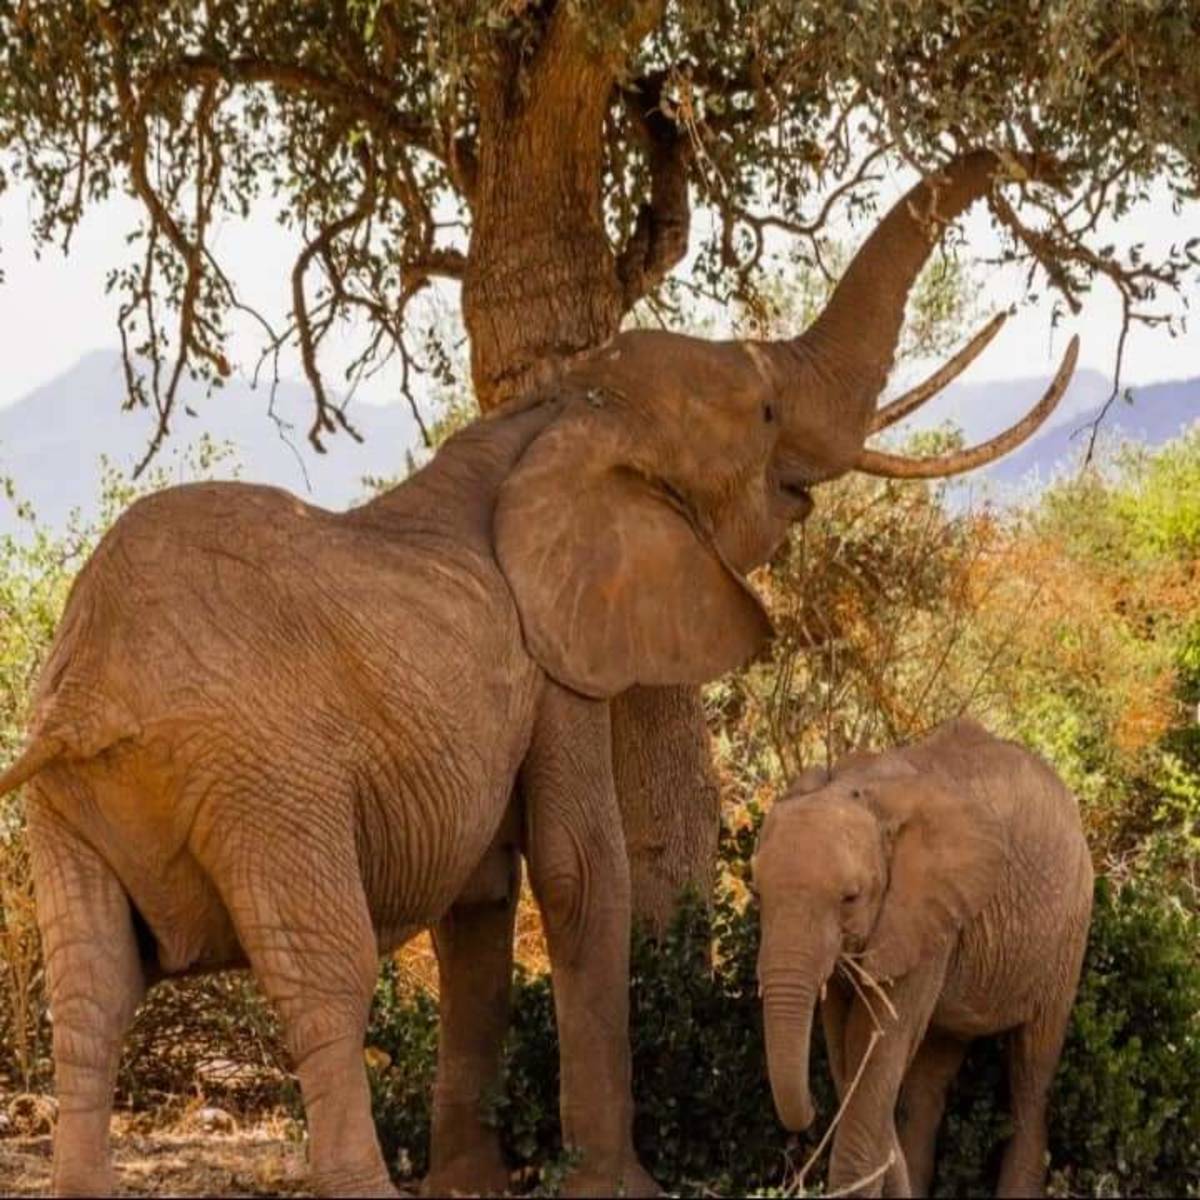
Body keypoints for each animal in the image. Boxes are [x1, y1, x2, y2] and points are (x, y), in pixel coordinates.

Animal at [753, 718, 1094, 1198]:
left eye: (850, 898)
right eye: (757, 893)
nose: (812, 1112)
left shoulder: (926, 916)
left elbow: (875, 1041)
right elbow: (848, 1047)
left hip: (1069, 933)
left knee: (1032, 1066)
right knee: (930, 1077)